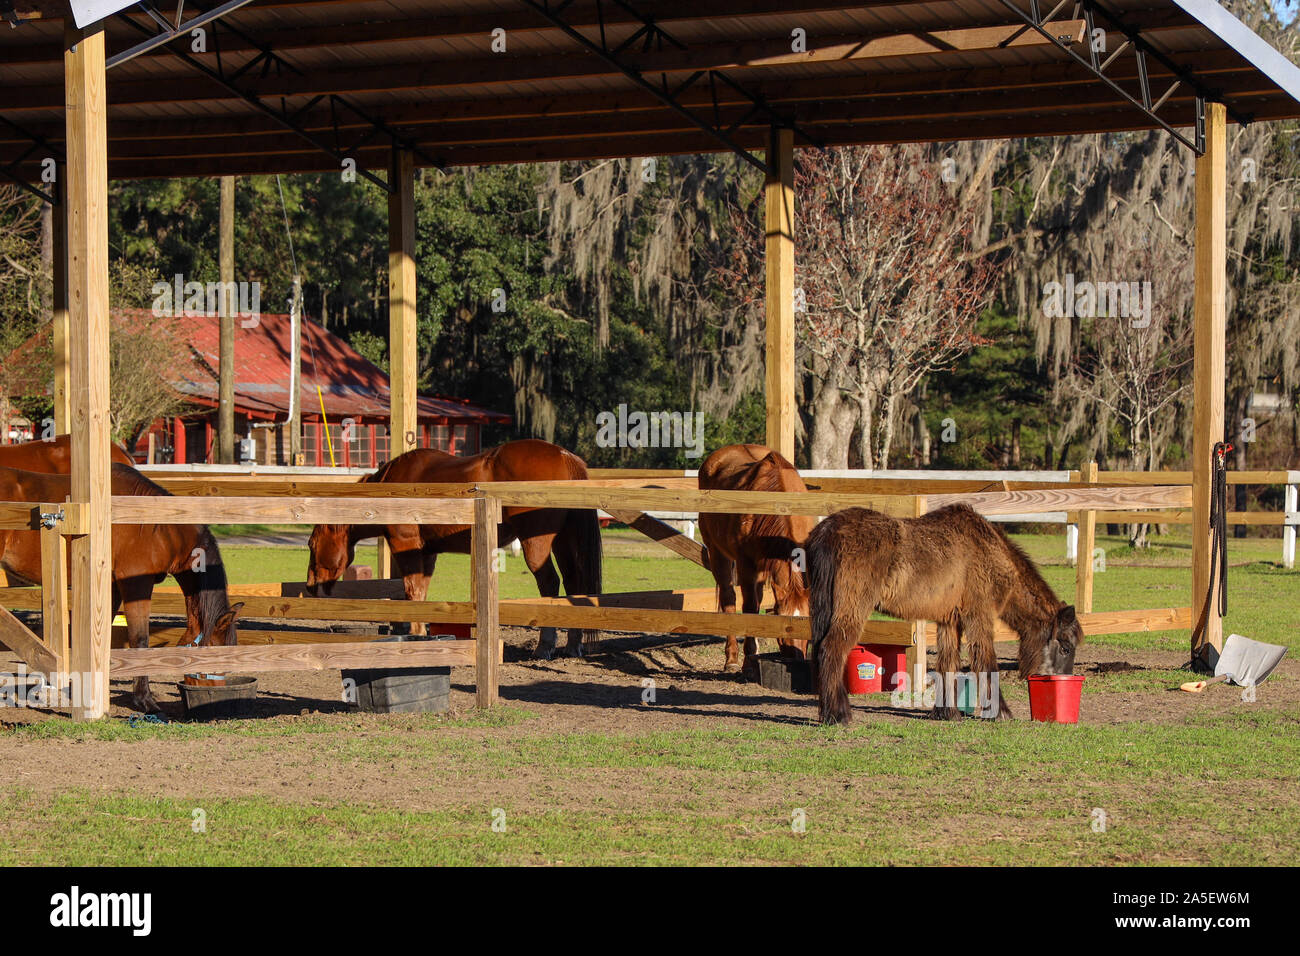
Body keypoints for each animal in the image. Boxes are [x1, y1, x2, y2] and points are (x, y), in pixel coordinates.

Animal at [0, 463, 242, 713]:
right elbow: (139, 639)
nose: (213, 695)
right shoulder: (136, 584)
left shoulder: (112, 586)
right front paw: (144, 700)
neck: (159, 528)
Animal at [307, 438, 603, 658]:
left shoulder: (406, 546)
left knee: (550, 583)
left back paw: (545, 646)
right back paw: (573, 644)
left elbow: (412, 591)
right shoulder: (428, 552)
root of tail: (564, 456)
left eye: (311, 544)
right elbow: (421, 593)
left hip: (536, 544)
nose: (310, 586)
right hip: (563, 542)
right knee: (574, 584)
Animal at [698, 444, 812, 674]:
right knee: (729, 598)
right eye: (784, 626)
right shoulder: (746, 565)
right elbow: (750, 607)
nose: (797, 660)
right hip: (718, 554)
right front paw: (748, 658)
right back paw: (732, 658)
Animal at [805, 504, 1082, 725]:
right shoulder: (978, 616)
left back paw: (828, 712)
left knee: (820, 650)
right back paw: (838, 715)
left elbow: (948, 663)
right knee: (832, 650)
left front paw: (946, 712)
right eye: (1066, 647)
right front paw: (1001, 712)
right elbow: (986, 661)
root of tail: (829, 529)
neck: (988, 551)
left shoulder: (950, 621)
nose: (1063, 681)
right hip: (853, 611)